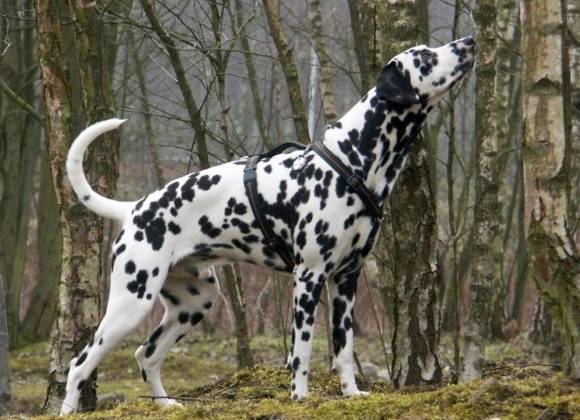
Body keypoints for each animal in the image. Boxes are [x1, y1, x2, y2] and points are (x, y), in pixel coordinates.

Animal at [60, 37, 475, 414]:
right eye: (425, 56)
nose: (469, 42)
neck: (351, 162)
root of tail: (134, 208)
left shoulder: (346, 281)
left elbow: (344, 349)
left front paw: (351, 394)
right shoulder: (309, 279)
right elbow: (302, 351)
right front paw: (300, 398)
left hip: (194, 303)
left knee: (146, 355)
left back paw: (165, 405)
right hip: (131, 302)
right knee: (78, 365)